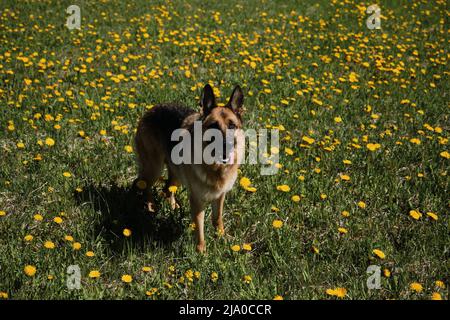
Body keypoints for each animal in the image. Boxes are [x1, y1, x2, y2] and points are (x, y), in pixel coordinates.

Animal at [134, 85, 244, 252]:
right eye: (213, 126)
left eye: (232, 125)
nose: (227, 146)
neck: (215, 167)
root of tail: (153, 108)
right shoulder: (197, 200)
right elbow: (199, 227)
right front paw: (201, 251)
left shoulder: (220, 196)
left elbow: (217, 219)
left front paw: (222, 238)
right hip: (154, 168)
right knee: (143, 184)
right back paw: (151, 206)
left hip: (176, 175)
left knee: (166, 189)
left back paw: (172, 207)